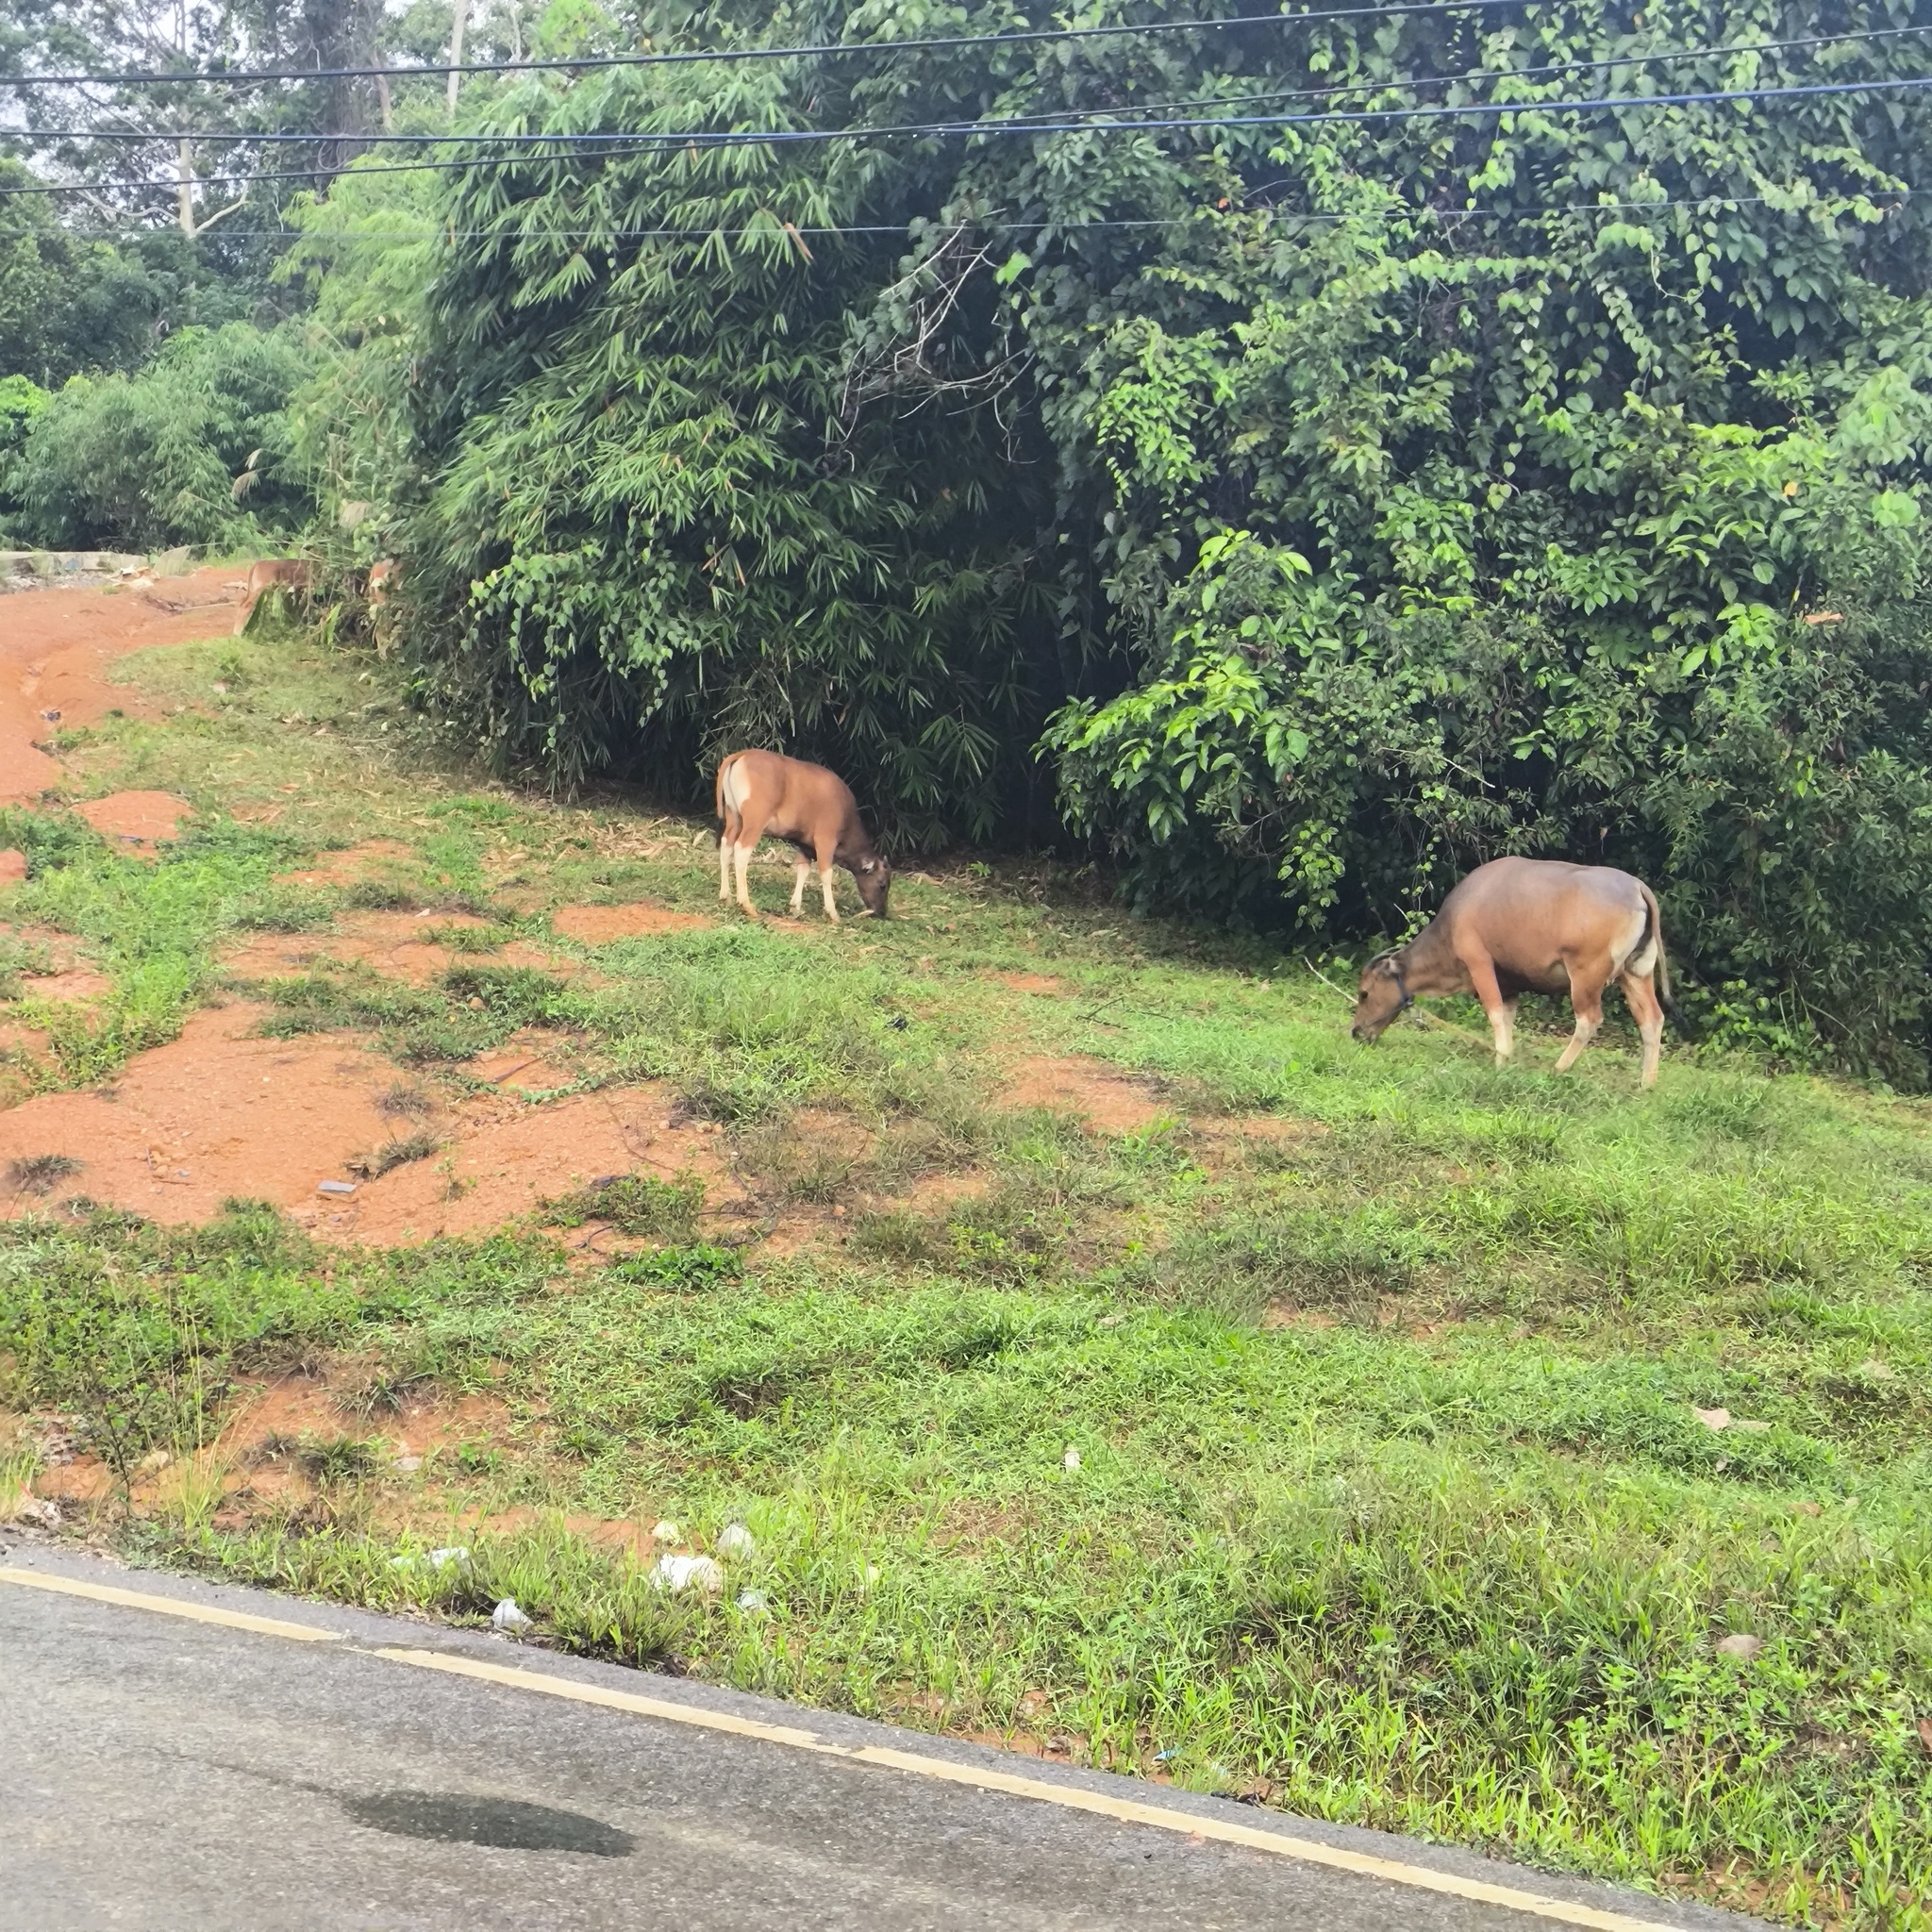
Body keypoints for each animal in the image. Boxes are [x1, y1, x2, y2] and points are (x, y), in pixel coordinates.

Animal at [710, 745, 889, 919]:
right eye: (882, 885)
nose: (882, 911)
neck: (846, 816)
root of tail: (742, 754)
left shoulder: (805, 847)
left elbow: (803, 871)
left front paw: (795, 906)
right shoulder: (826, 840)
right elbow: (826, 873)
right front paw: (832, 913)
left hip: (734, 816)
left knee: (727, 846)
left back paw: (726, 896)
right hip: (755, 821)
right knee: (741, 851)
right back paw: (746, 904)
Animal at [1344, 861, 1676, 1090]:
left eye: (1364, 993)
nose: (1357, 1032)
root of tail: (1637, 888)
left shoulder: (1479, 963)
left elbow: (1493, 1015)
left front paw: (1499, 1059)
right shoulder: (1510, 985)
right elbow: (1506, 1017)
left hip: (1585, 975)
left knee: (1589, 1019)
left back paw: (1559, 1068)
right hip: (1635, 973)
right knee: (1652, 1018)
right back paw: (1647, 1083)